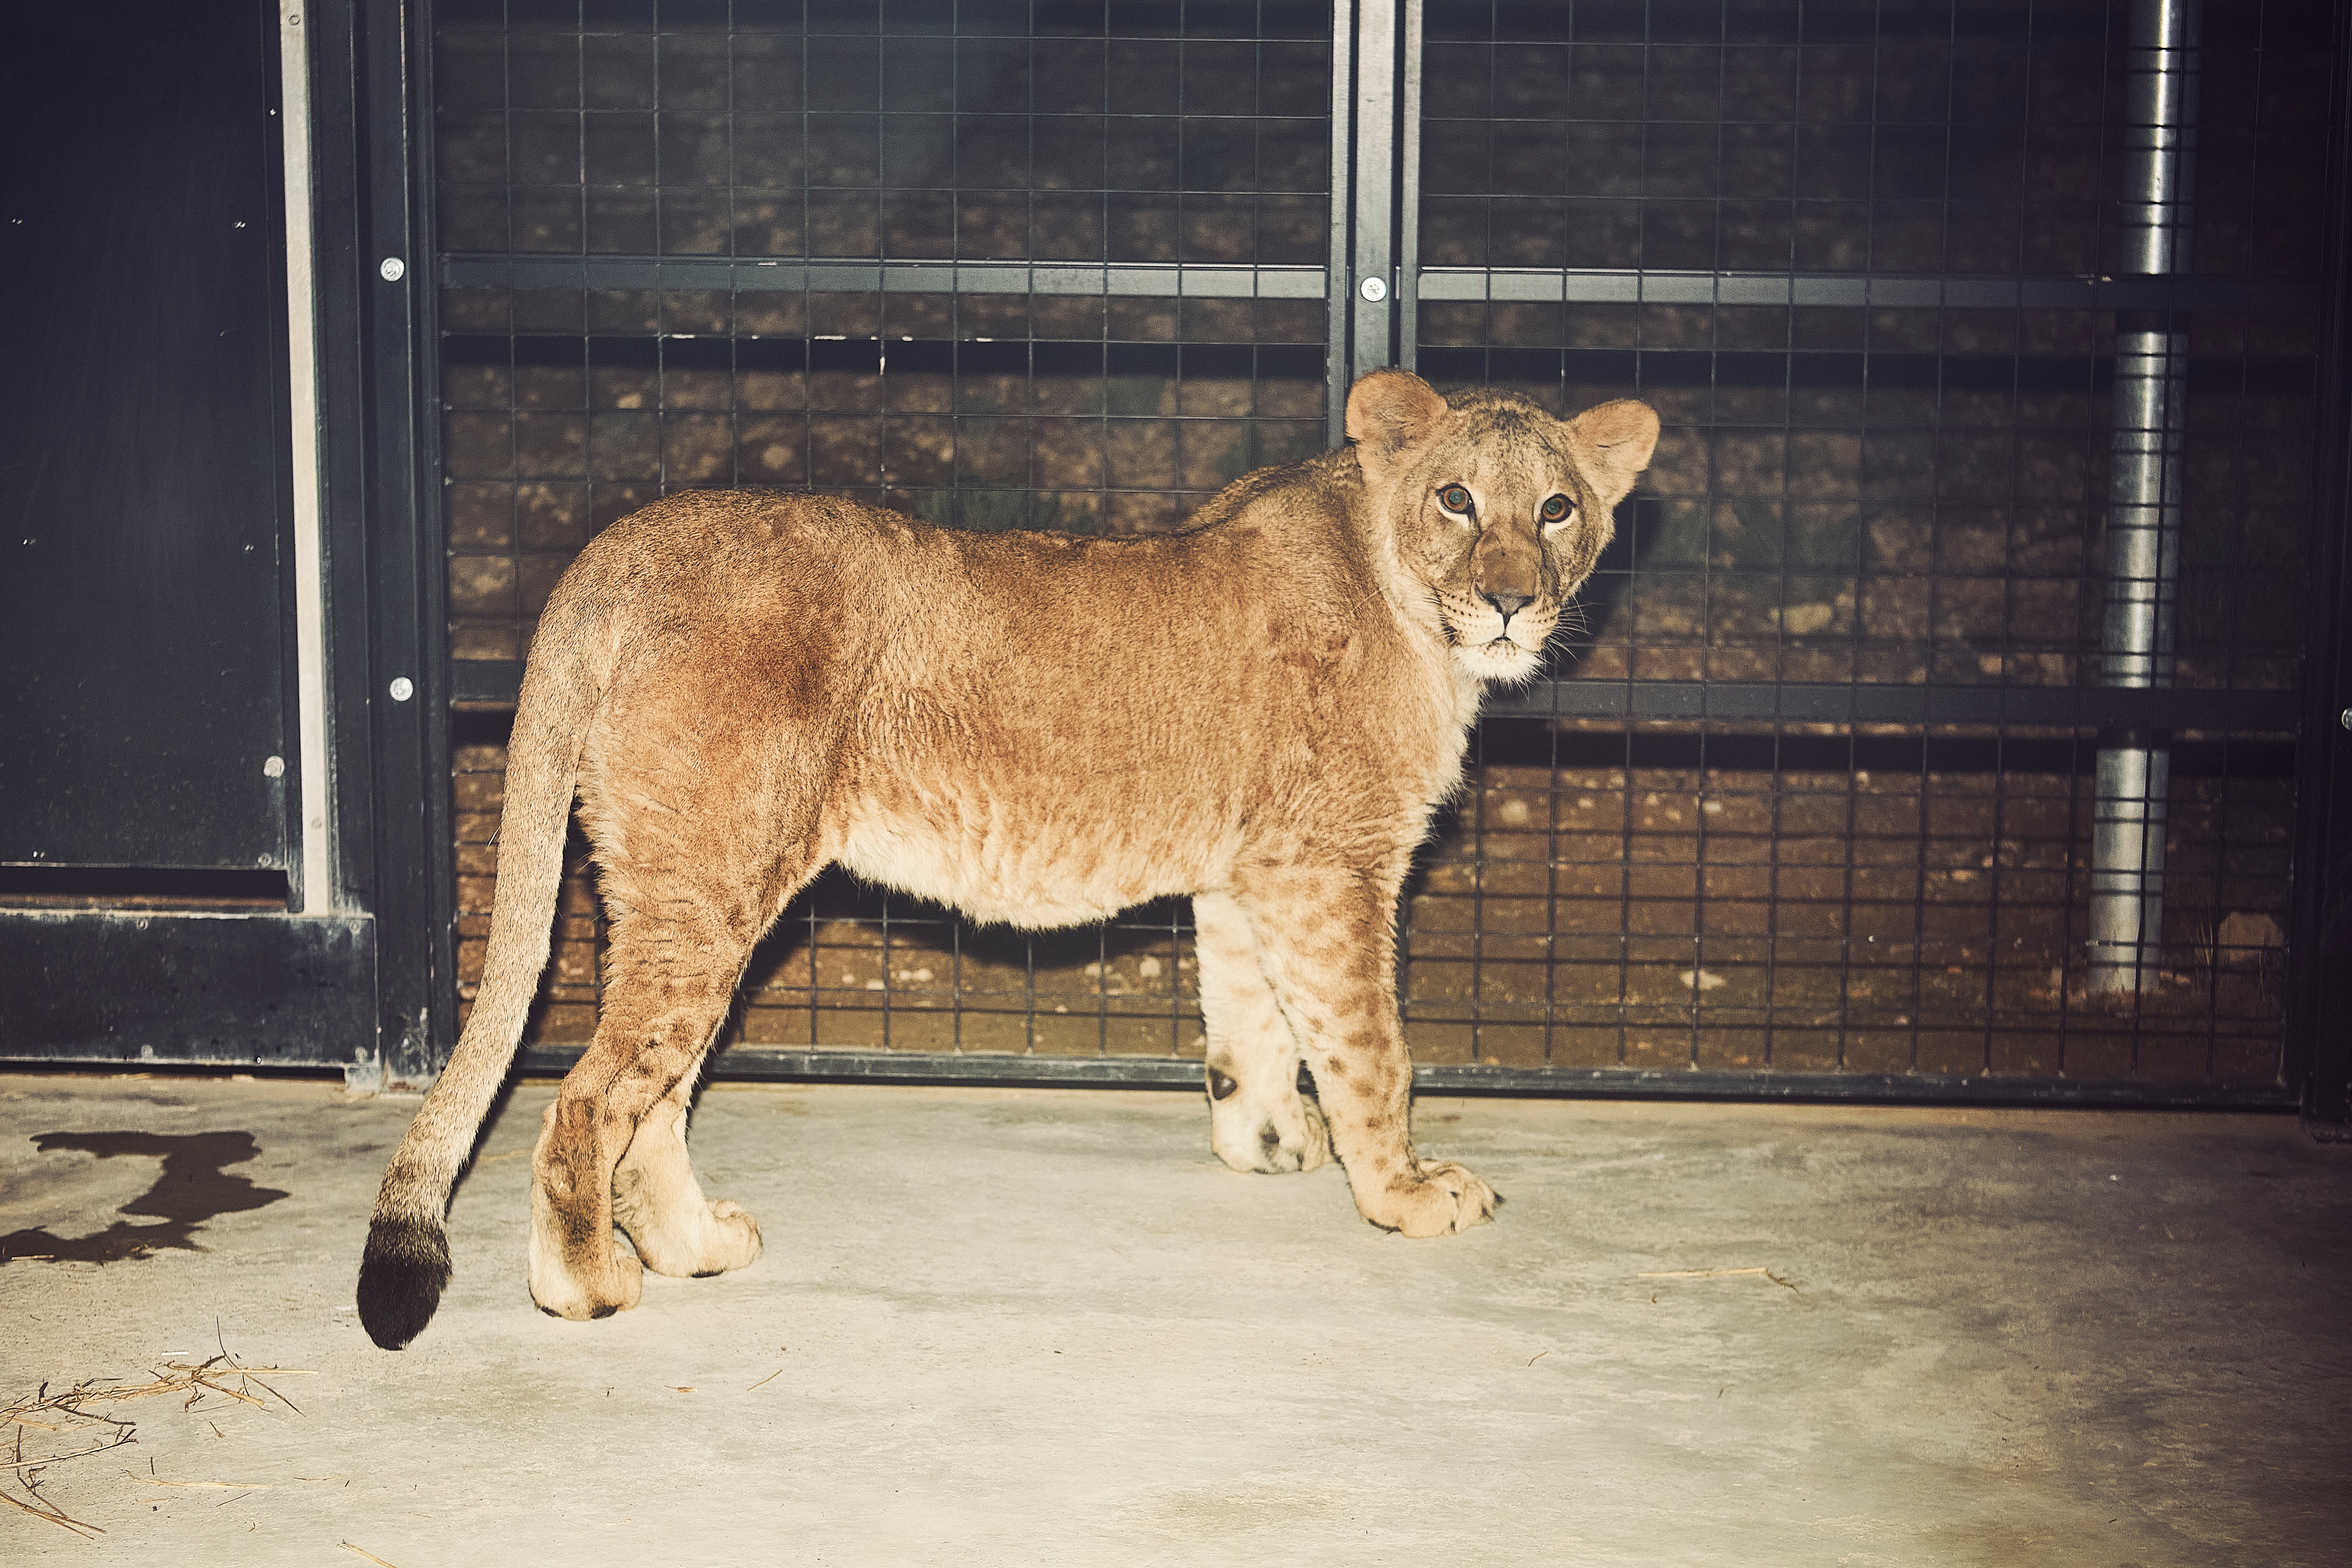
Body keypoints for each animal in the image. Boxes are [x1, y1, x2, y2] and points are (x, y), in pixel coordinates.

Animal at [356, 369, 1658, 1349]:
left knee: (657, 1098)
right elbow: (1371, 1050)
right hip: (713, 877)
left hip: (694, 886)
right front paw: (1405, 1194)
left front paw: (1264, 1145)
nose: (1509, 602)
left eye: (1556, 509)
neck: (1415, 614)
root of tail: (622, 548)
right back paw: (586, 1286)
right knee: (590, 1096)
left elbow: (1253, 1027)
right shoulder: (1331, 868)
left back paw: (695, 1247)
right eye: (1455, 498)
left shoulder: (1253, 872)